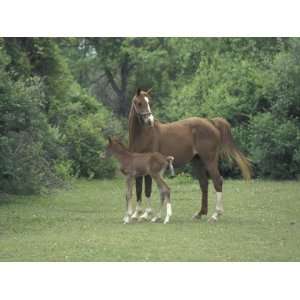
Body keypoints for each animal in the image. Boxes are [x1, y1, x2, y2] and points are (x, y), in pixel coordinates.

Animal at [128, 87, 251, 223]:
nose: (149, 121)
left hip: (209, 160)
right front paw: (136, 214)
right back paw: (200, 213)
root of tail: (211, 122)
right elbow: (139, 189)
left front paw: (145, 214)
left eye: (149, 102)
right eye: (139, 103)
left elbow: (147, 190)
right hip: (197, 161)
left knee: (217, 181)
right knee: (204, 183)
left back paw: (215, 215)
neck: (144, 135)